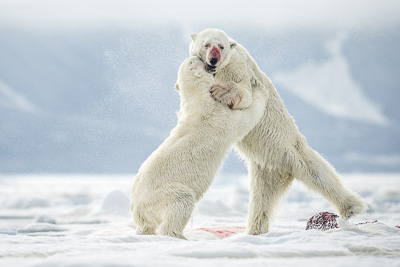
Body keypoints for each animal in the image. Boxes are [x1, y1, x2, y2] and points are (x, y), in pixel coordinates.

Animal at [189, 28, 368, 236]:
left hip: (291, 147)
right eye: (206, 44)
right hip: (264, 167)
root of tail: (284, 169)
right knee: (261, 199)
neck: (219, 71)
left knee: (319, 173)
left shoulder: (238, 69)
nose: (213, 60)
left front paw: (222, 92)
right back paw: (255, 230)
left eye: (221, 46)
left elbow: (245, 93)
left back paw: (351, 207)